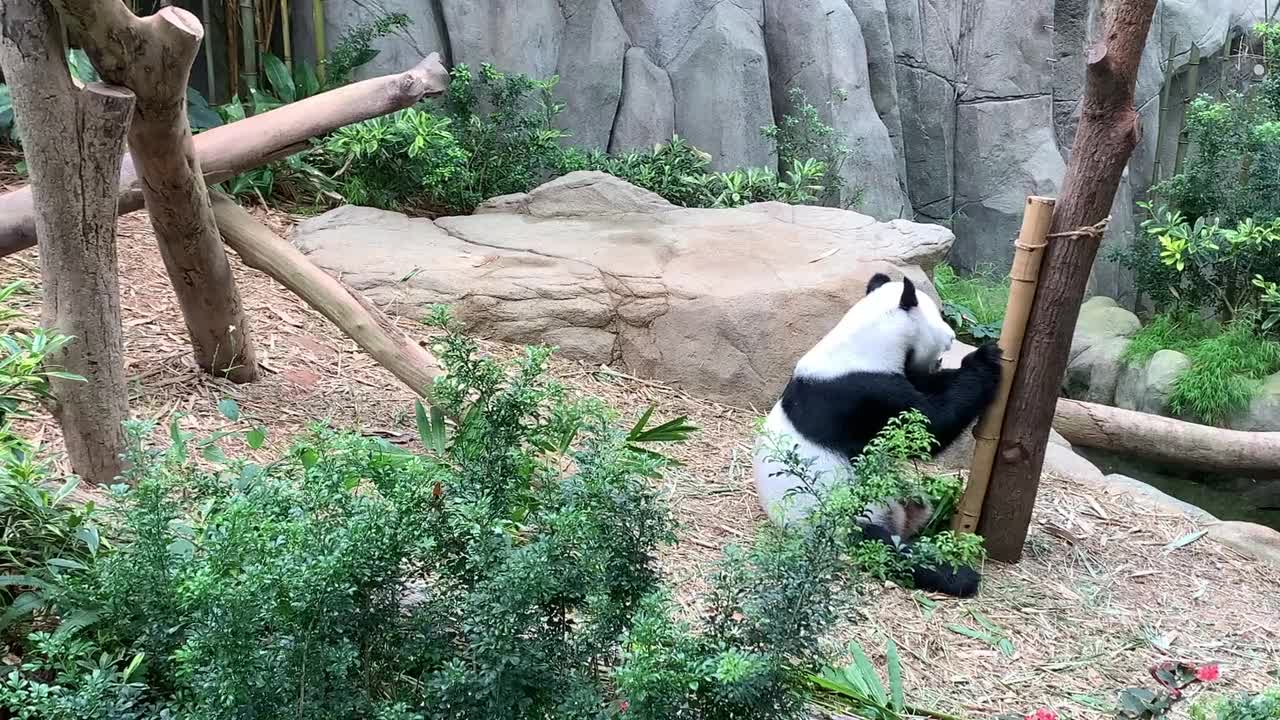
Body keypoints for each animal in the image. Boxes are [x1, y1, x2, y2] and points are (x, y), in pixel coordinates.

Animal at [752, 269, 1003, 594]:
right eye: (939, 317)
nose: (950, 337)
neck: (864, 341)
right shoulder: (862, 393)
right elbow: (926, 428)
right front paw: (985, 360)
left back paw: (940, 513)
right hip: (843, 516)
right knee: (884, 547)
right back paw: (957, 575)